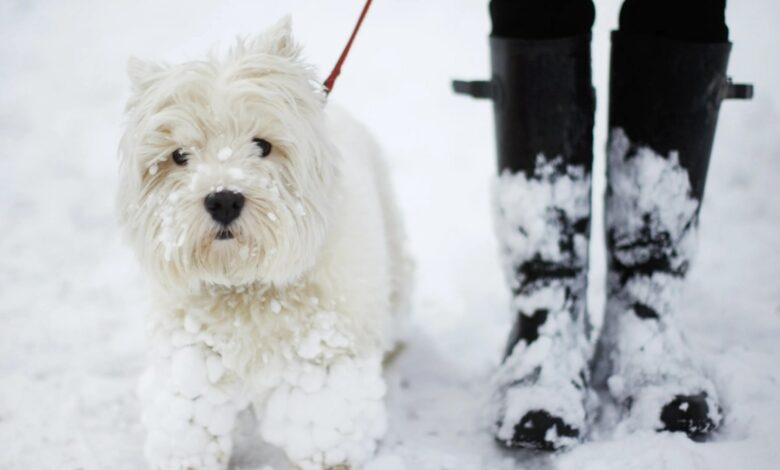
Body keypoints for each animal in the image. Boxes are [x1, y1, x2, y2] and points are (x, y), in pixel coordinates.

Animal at [119, 16, 412, 468]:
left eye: (262, 145)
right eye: (180, 155)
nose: (223, 199)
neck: (245, 287)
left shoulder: (322, 361)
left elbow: (325, 434)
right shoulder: (189, 356)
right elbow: (191, 427)